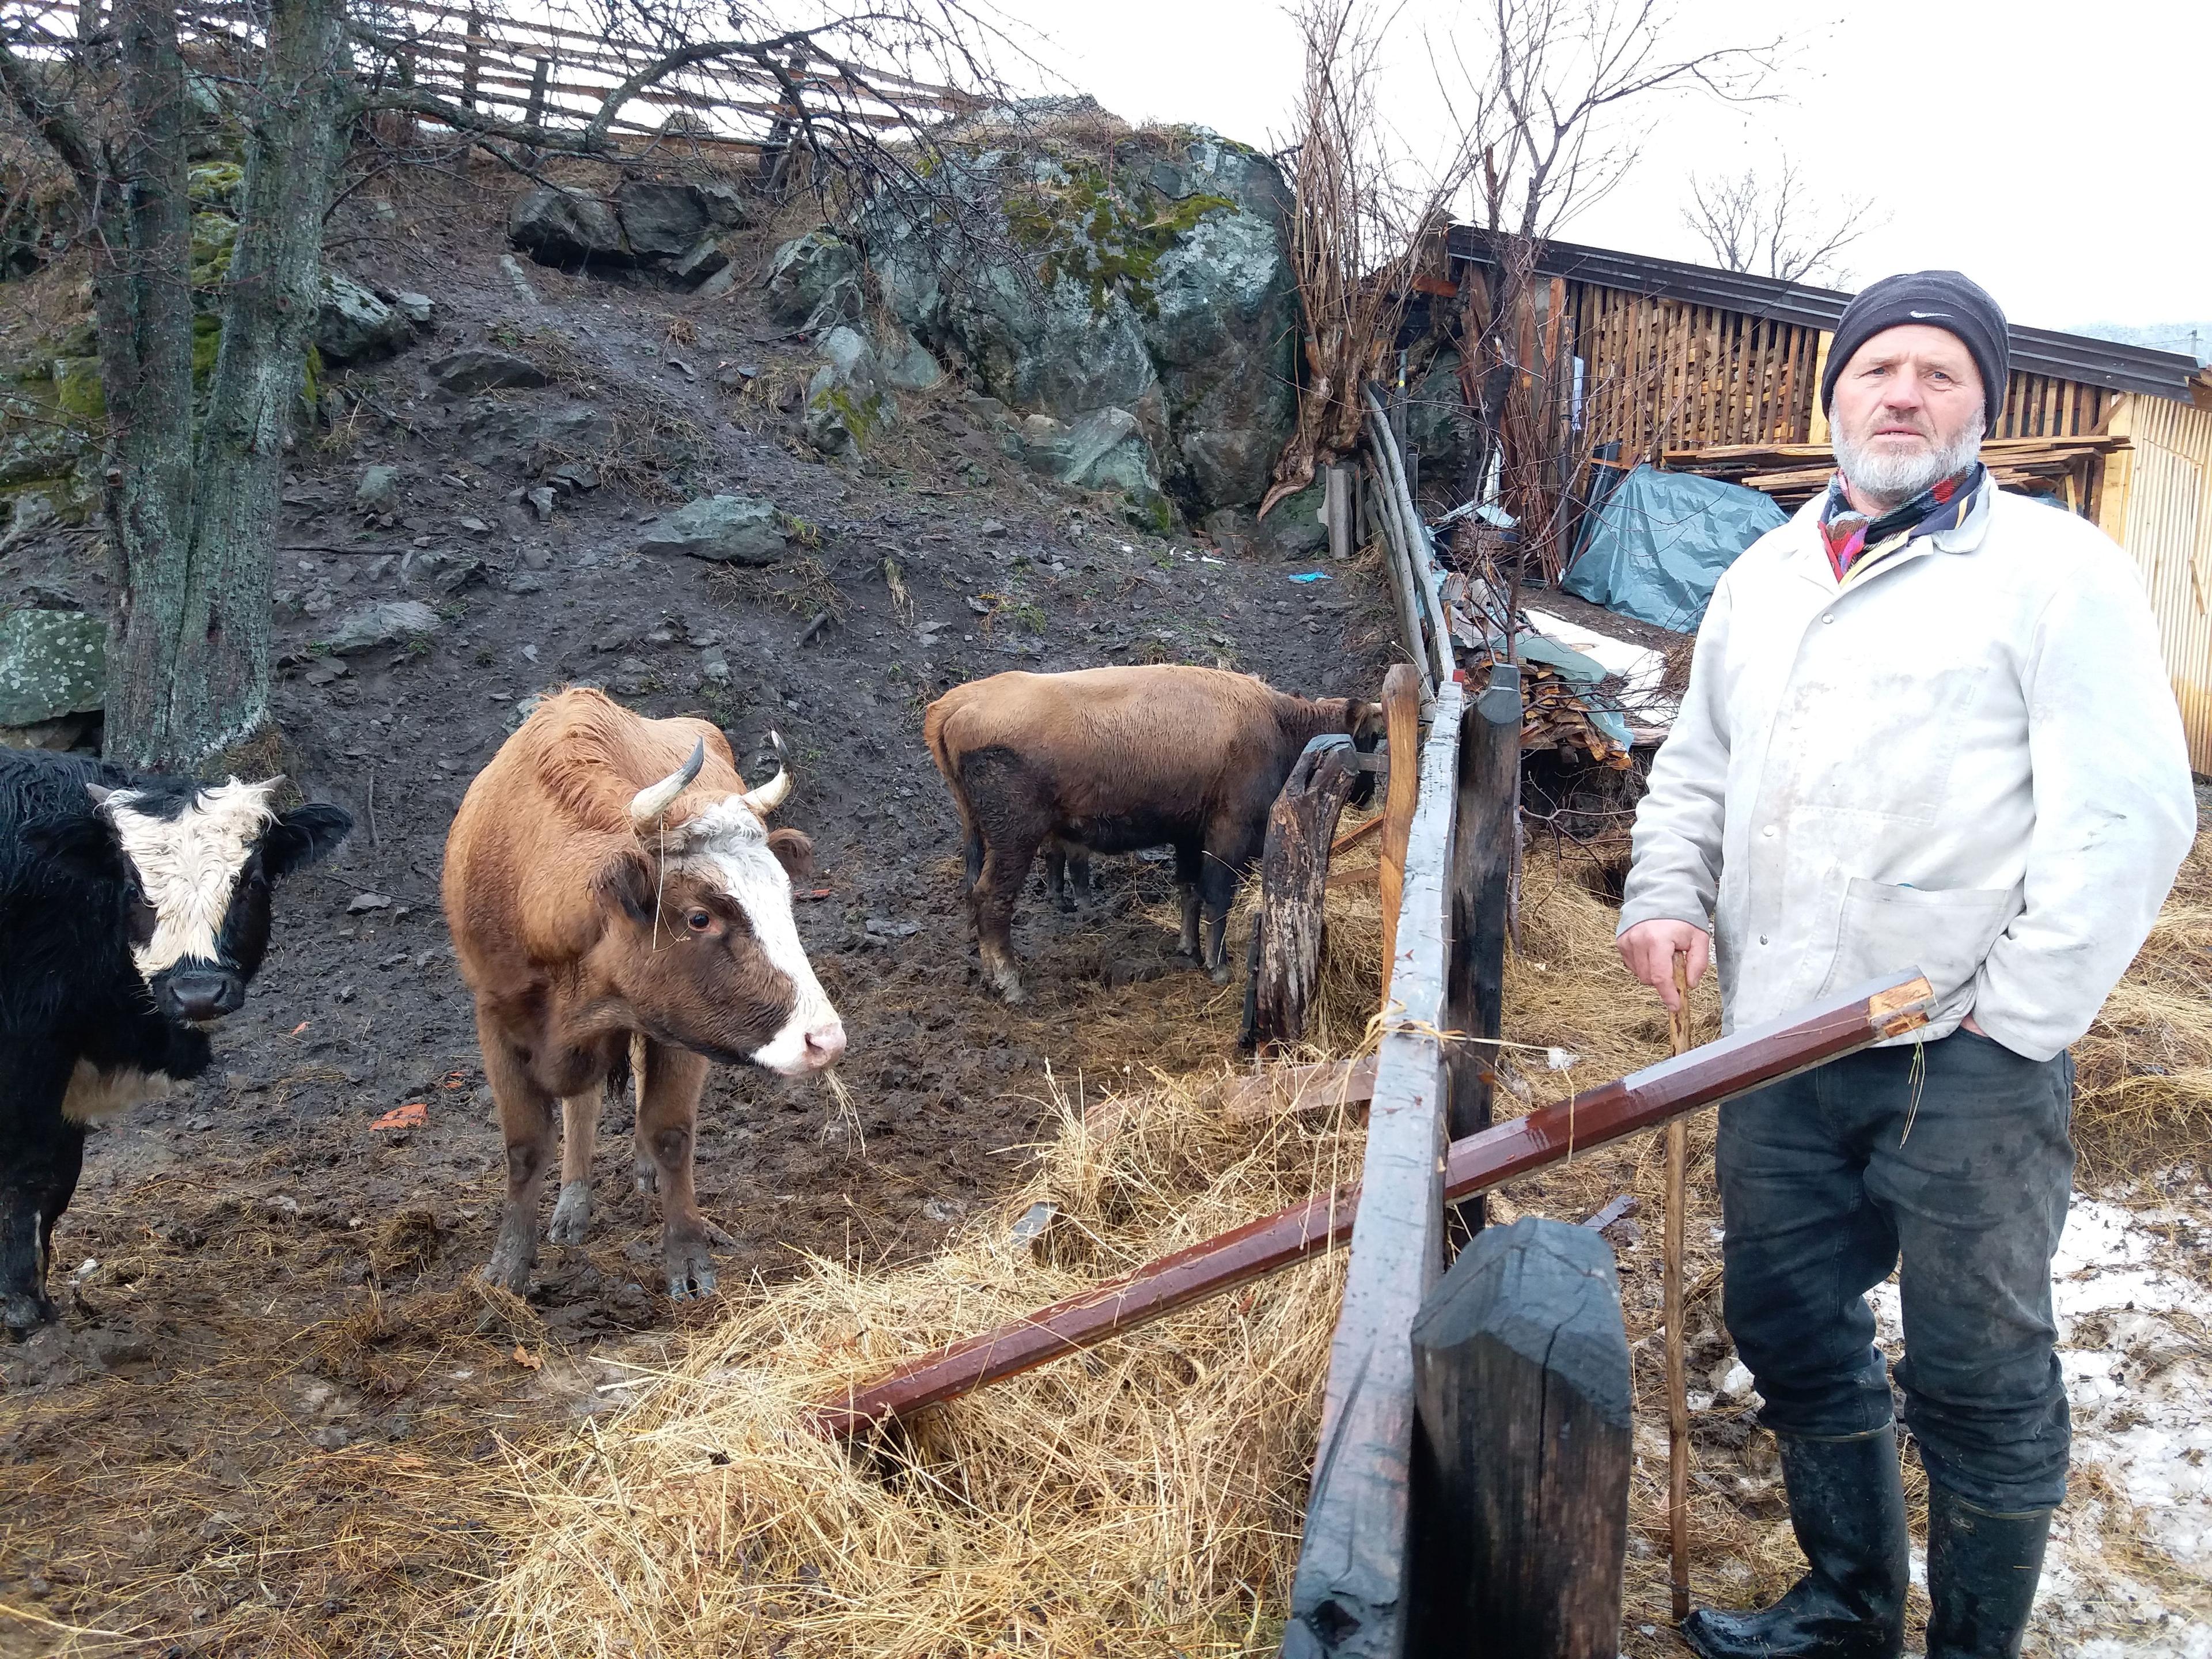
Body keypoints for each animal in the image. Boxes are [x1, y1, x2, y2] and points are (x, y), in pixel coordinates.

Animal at [0, 752, 349, 1336]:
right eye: (135, 888)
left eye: (250, 881)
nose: (198, 992)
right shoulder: (27, 1052)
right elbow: (28, 1170)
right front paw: (23, 1309)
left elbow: (58, 1177)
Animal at [442, 690, 844, 1300]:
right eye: (699, 917)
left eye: (786, 899)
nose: (824, 1039)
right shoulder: (495, 1016)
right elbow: (524, 1148)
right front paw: (507, 1269)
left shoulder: (679, 1028)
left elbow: (669, 1132)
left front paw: (688, 1260)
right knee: (581, 1103)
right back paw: (573, 1203)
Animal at [920, 668, 1371, 1009]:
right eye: (1371, 737)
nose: (1368, 796)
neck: (1276, 722)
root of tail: (952, 706)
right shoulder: (1228, 833)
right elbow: (1217, 896)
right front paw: (1219, 966)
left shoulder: (1190, 835)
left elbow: (1190, 891)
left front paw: (1189, 949)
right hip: (1015, 840)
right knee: (992, 901)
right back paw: (1011, 984)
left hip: (984, 837)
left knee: (974, 895)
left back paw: (990, 975)